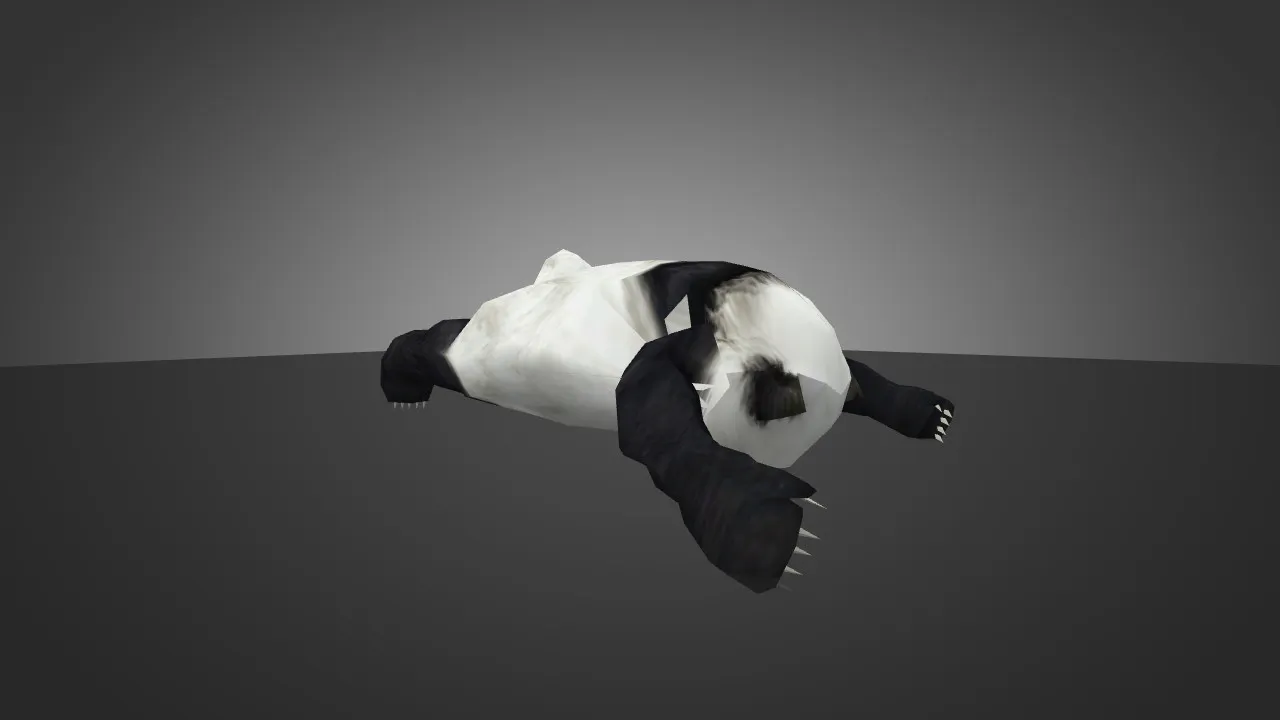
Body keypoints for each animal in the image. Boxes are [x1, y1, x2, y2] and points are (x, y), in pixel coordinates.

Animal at [380, 250, 955, 593]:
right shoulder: (688, 342)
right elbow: (651, 412)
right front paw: (769, 533)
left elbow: (863, 379)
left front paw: (931, 414)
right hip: (479, 347)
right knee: (438, 341)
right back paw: (402, 383)